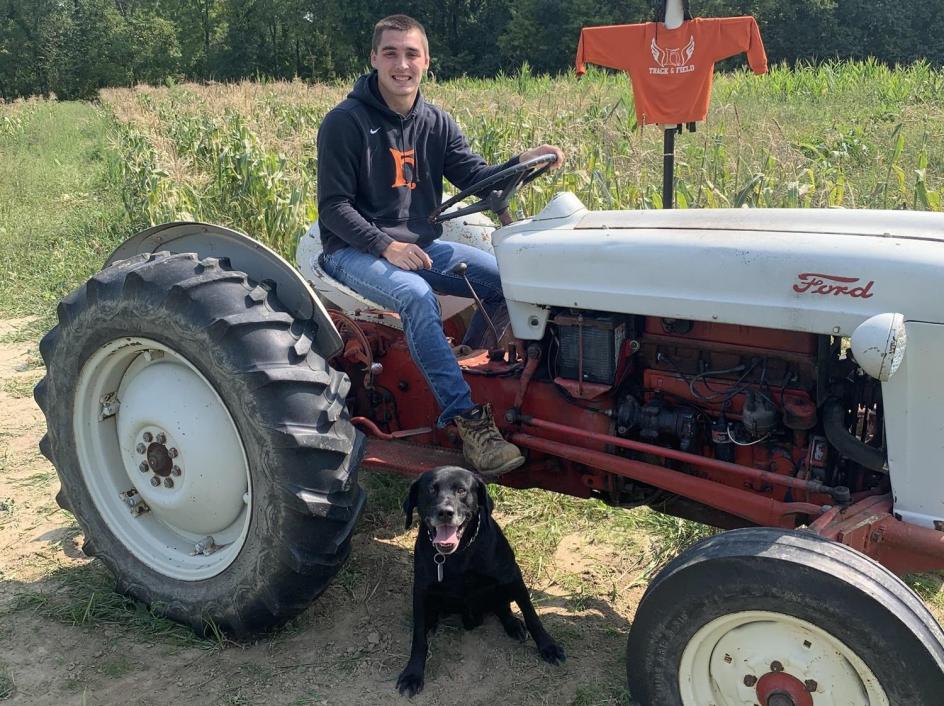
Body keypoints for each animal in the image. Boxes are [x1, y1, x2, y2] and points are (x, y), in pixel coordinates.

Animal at [394, 464, 564, 696]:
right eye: (431, 490)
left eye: (461, 490)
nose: (445, 512)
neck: (458, 554)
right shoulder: (421, 588)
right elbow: (419, 637)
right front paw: (412, 674)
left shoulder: (513, 576)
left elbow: (532, 616)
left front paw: (548, 647)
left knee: (503, 607)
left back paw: (514, 625)